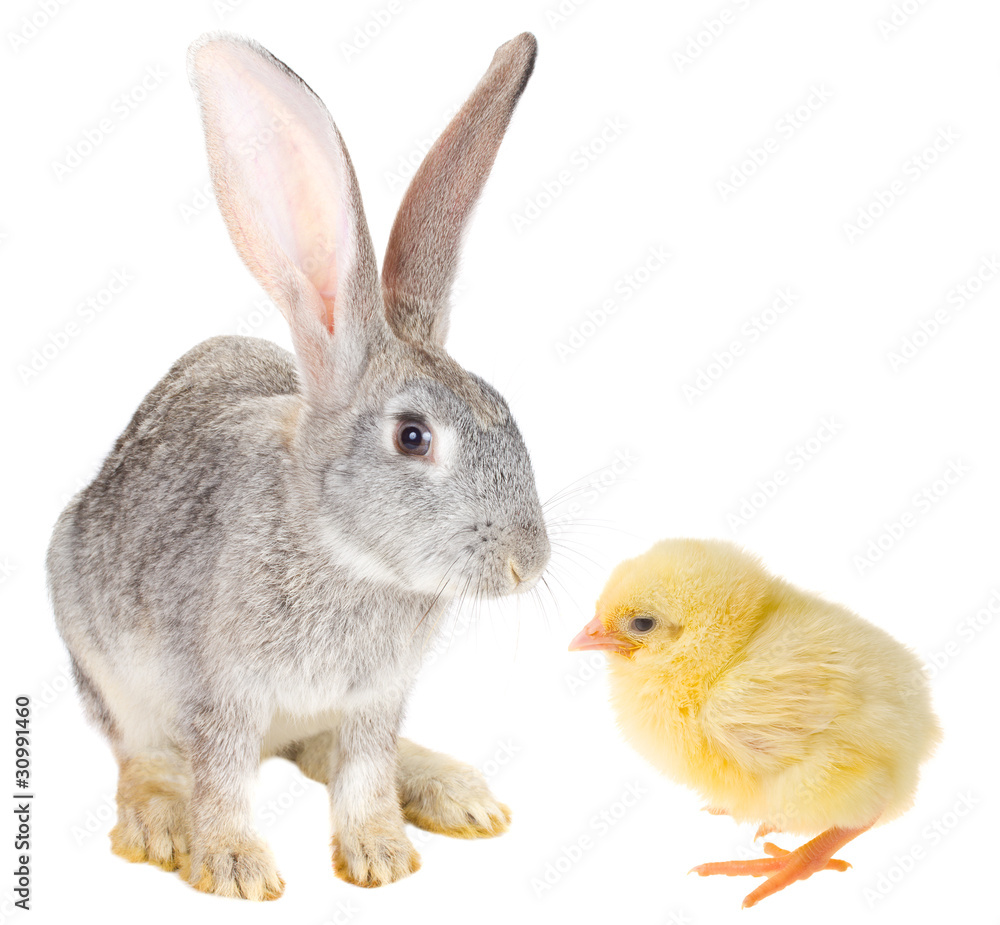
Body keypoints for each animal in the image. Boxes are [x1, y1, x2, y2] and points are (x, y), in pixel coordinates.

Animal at [46, 30, 549, 901]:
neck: (342, 551)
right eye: (412, 437)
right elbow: (221, 779)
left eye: (503, 406)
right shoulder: (221, 691)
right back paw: (159, 822)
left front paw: (381, 854)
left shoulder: (375, 700)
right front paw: (235, 868)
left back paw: (454, 791)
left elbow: (364, 773)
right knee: (141, 754)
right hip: (99, 649)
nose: (530, 559)